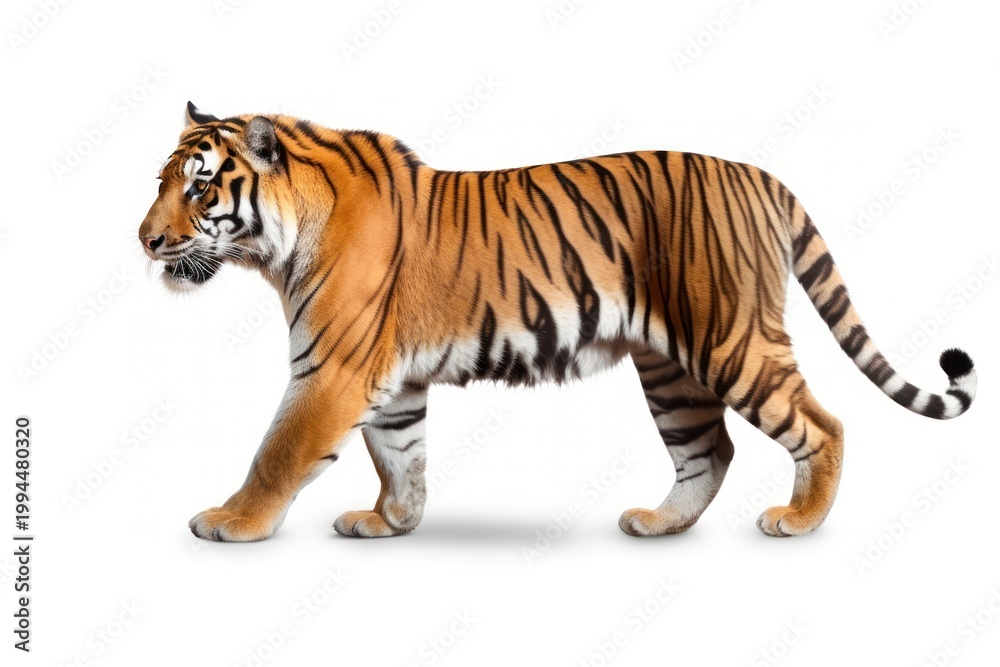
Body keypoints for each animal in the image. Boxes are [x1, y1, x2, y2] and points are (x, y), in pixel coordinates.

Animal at [138, 102, 977, 542]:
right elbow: (399, 455)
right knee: (709, 449)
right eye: (161, 183)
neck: (278, 245)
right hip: (671, 369)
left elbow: (278, 453)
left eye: (199, 188)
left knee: (822, 423)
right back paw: (658, 522)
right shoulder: (392, 379)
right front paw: (393, 521)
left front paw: (230, 520)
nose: (144, 240)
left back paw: (799, 519)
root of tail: (757, 174)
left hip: (731, 339)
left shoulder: (331, 370)